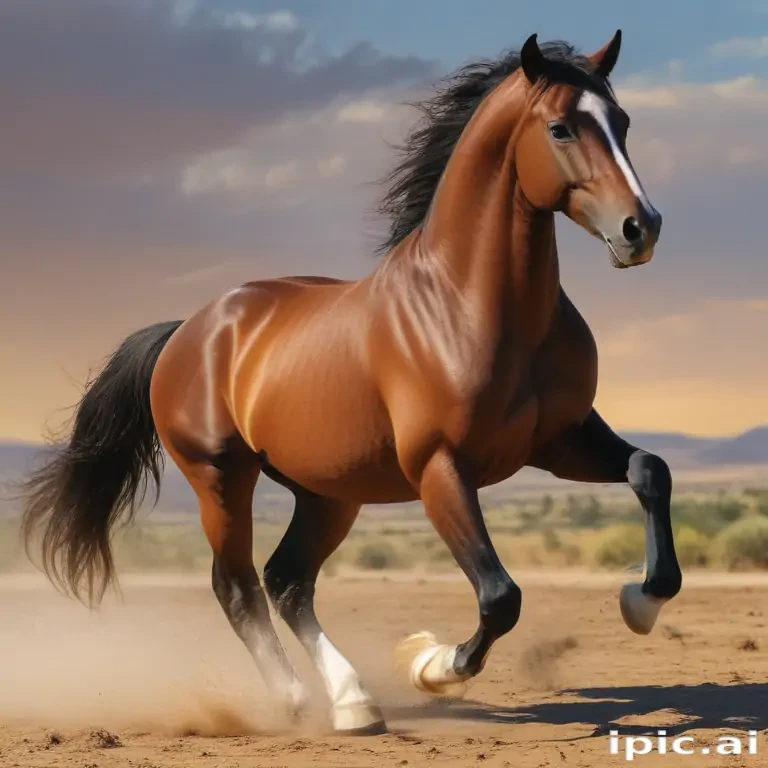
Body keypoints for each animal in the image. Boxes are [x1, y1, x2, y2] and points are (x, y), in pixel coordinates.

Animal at [18, 31, 682, 736]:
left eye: (623, 122)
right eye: (560, 127)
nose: (641, 228)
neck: (469, 304)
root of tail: (189, 330)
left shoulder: (561, 441)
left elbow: (650, 471)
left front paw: (639, 600)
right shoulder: (440, 468)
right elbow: (501, 596)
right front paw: (431, 666)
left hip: (326, 492)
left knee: (287, 581)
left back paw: (354, 703)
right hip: (221, 480)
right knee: (238, 586)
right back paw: (297, 700)